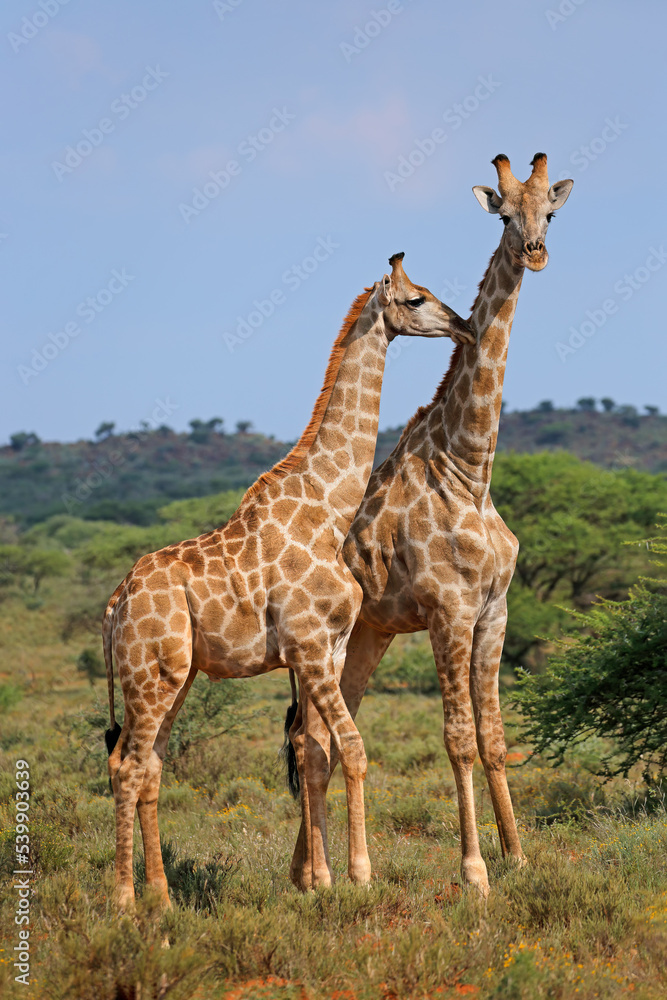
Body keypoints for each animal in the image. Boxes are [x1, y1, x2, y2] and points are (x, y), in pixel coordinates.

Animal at [102, 253, 473, 910]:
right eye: (416, 299)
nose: (462, 326)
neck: (329, 509)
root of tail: (114, 605)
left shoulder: (326, 649)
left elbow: (317, 754)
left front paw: (319, 881)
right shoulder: (309, 645)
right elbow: (352, 750)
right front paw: (359, 875)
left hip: (175, 676)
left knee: (149, 768)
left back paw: (162, 898)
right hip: (149, 675)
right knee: (126, 766)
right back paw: (124, 902)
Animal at [288, 153, 574, 895]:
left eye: (549, 211)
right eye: (504, 214)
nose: (535, 252)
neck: (470, 466)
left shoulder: (494, 610)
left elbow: (495, 737)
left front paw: (517, 856)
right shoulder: (449, 610)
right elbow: (458, 738)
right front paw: (474, 871)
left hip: (368, 636)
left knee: (320, 737)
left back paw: (307, 872)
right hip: (321, 643)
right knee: (307, 738)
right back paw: (321, 875)